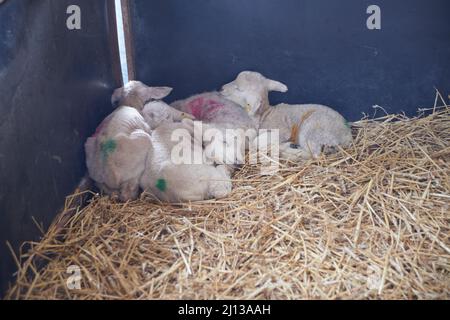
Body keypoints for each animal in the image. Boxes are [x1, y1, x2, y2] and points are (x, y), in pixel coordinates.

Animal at [220, 71, 354, 159]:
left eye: (238, 89)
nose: (221, 89)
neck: (264, 114)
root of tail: (347, 136)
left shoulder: (282, 131)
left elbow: (256, 141)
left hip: (311, 129)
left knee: (314, 155)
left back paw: (287, 150)